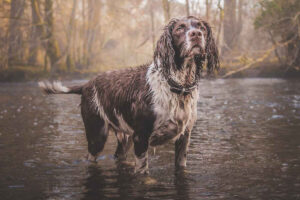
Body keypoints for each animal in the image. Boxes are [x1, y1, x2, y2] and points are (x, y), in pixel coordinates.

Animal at [38, 16, 219, 173]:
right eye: (180, 28)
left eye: (201, 27)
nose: (196, 34)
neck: (177, 85)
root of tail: (87, 84)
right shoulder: (141, 137)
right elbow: (143, 171)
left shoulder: (184, 138)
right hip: (97, 135)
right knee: (91, 157)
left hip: (125, 138)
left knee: (118, 155)